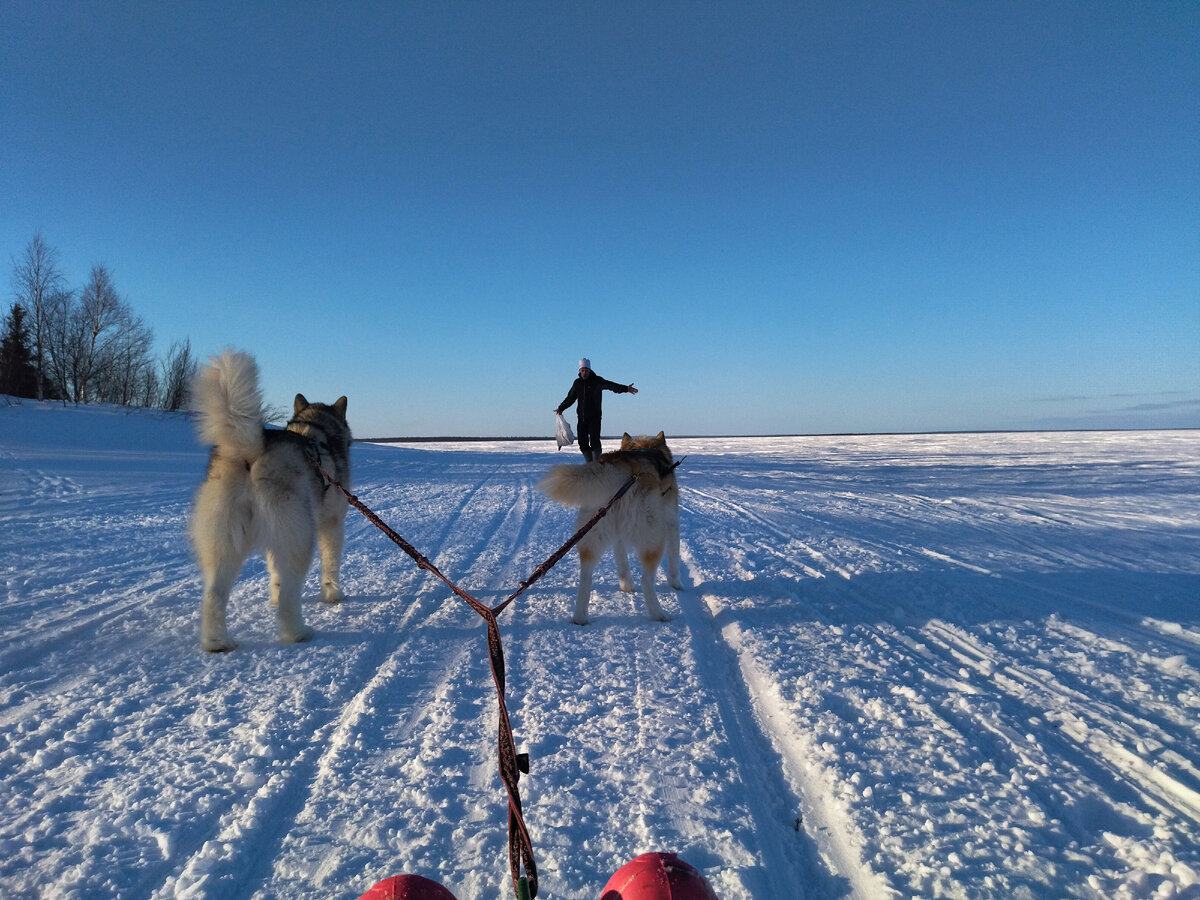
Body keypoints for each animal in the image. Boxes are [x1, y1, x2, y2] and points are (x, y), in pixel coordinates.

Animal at [184, 348, 350, 652]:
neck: (315, 429)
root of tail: (251, 450)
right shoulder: (332, 525)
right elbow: (331, 565)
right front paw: (333, 595)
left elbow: (274, 575)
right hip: (300, 538)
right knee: (289, 597)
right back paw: (298, 633)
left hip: (224, 543)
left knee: (213, 595)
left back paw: (217, 642)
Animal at [537, 434, 686, 624]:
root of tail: (620, 467)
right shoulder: (672, 523)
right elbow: (674, 561)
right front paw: (676, 584)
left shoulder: (618, 538)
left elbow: (622, 564)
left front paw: (626, 586)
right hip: (653, 539)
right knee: (646, 581)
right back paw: (659, 615)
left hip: (592, 534)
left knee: (585, 579)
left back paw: (580, 618)